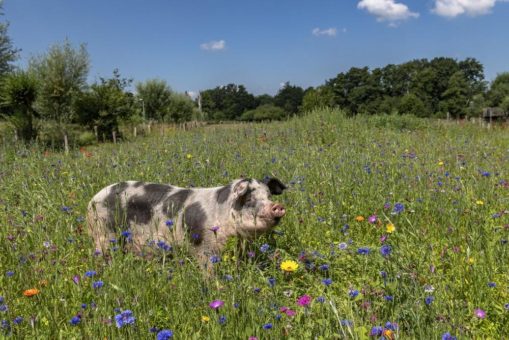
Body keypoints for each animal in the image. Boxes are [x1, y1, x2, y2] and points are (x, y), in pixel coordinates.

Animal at [87, 177, 286, 266]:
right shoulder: (204, 248)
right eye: (249, 199)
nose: (277, 206)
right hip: (104, 233)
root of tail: (93, 200)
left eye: (268, 196)